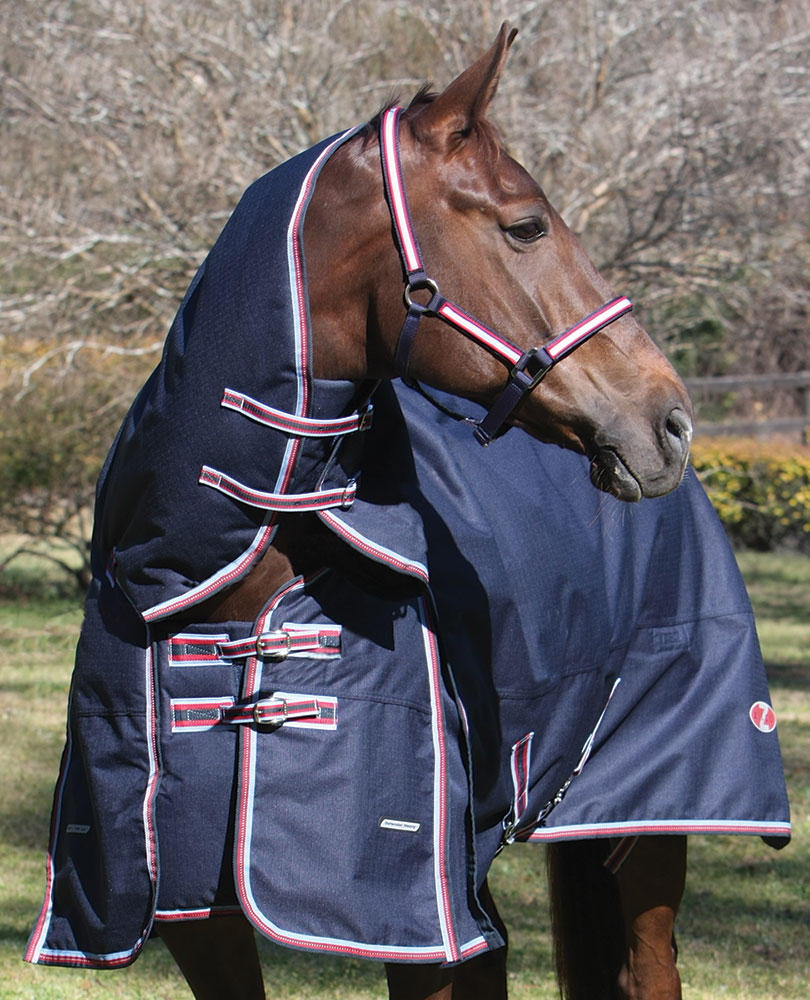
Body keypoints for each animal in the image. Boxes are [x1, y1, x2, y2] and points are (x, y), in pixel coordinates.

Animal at [26, 22, 789, 1000]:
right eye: (526, 224)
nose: (669, 420)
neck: (230, 562)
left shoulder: (409, 921)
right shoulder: (195, 914)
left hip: (646, 824)